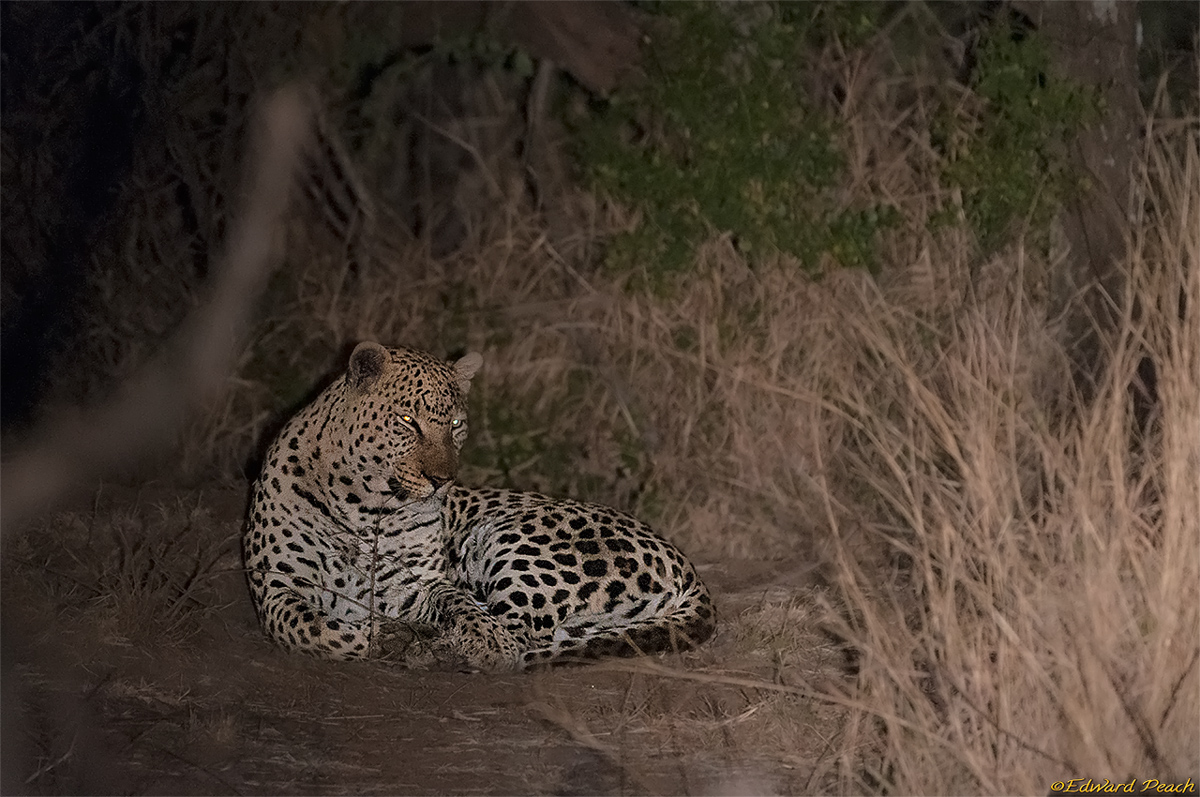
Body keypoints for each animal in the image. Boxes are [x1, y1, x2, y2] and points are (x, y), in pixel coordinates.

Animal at [242, 341, 715, 671]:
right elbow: (316, 629)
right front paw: (387, 637)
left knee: (520, 632)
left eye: (455, 424)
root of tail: (686, 563)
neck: (366, 503)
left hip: (514, 540)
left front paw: (469, 639)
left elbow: (461, 605)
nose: (442, 481)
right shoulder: (277, 587)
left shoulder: (414, 585)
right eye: (408, 422)